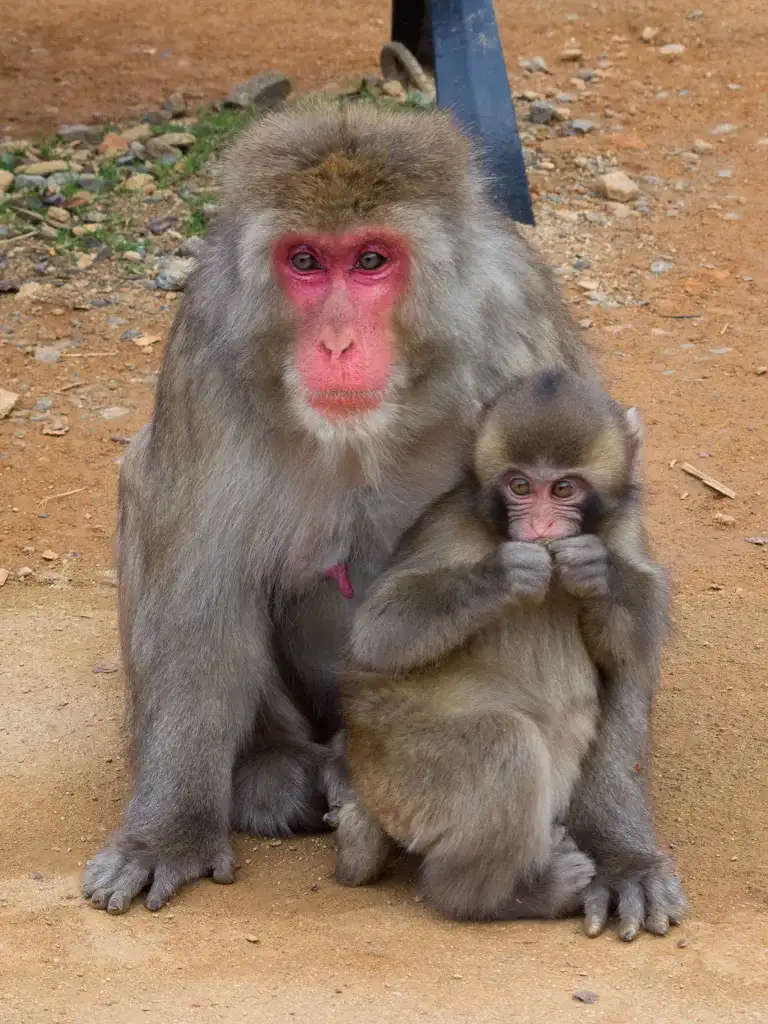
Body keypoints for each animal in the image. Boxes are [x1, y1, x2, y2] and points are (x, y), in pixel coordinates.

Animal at [322, 368, 666, 923]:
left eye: (563, 487)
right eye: (520, 485)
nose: (540, 527)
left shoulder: (624, 526)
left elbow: (636, 647)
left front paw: (597, 570)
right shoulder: (450, 523)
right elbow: (380, 633)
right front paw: (505, 573)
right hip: (396, 768)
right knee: (505, 744)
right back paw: (498, 894)